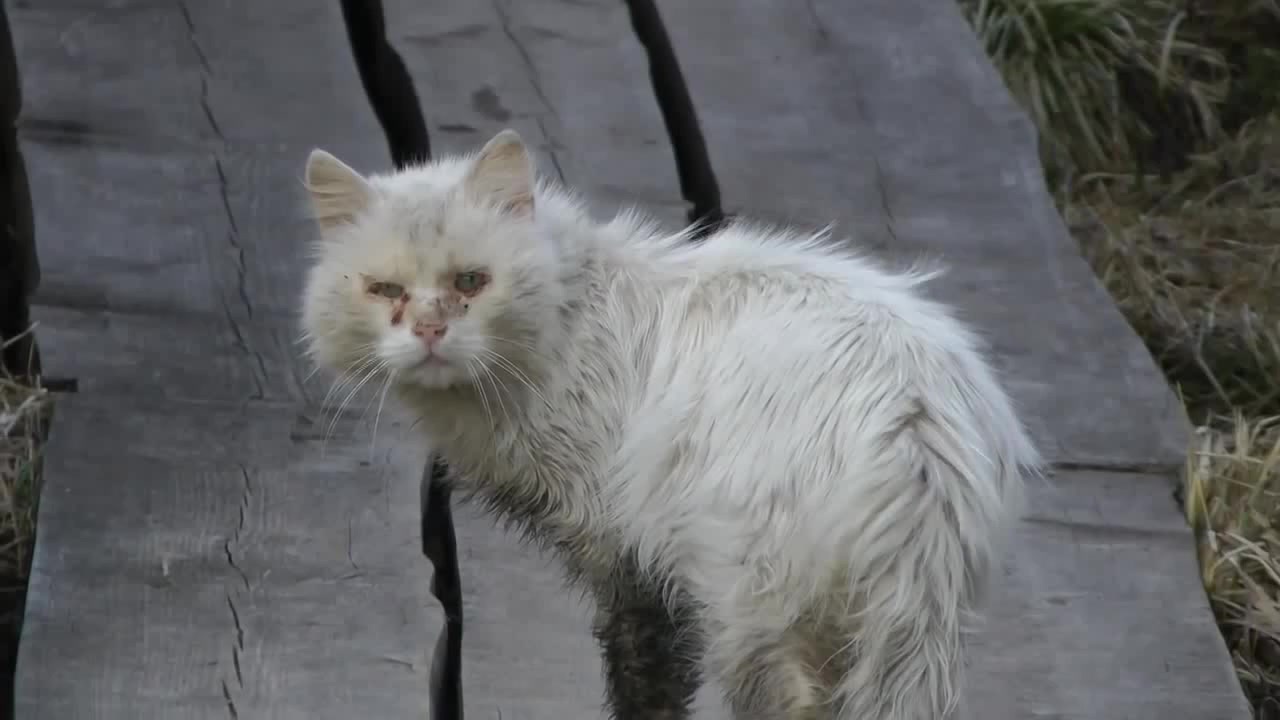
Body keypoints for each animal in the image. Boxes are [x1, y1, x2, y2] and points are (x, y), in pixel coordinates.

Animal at [299, 129, 1041, 720]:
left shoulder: (630, 563)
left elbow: (646, 689)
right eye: (385, 291)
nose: (429, 331)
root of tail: (918, 429)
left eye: (471, 282)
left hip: (751, 607)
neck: (576, 321)